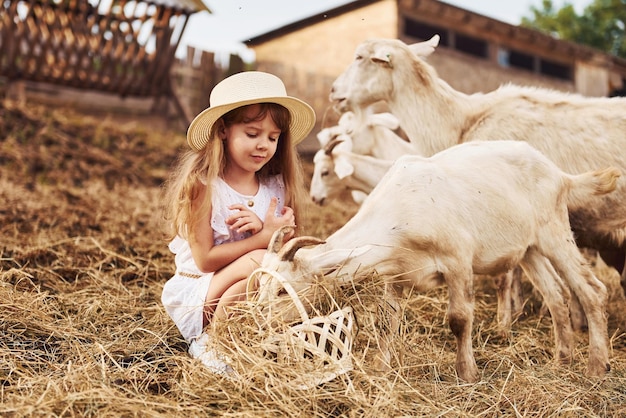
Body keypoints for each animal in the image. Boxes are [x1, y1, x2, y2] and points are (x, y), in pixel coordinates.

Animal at [255, 142, 616, 384]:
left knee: (591, 290)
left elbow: (459, 319)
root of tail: (562, 175)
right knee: (556, 295)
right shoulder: (394, 274)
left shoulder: (458, 261)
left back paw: (596, 366)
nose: (255, 321)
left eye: (283, 292)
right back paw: (561, 360)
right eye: (261, 285)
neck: (402, 210)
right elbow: (388, 321)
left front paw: (467, 373)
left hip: (554, 231)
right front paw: (381, 368)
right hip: (529, 249)